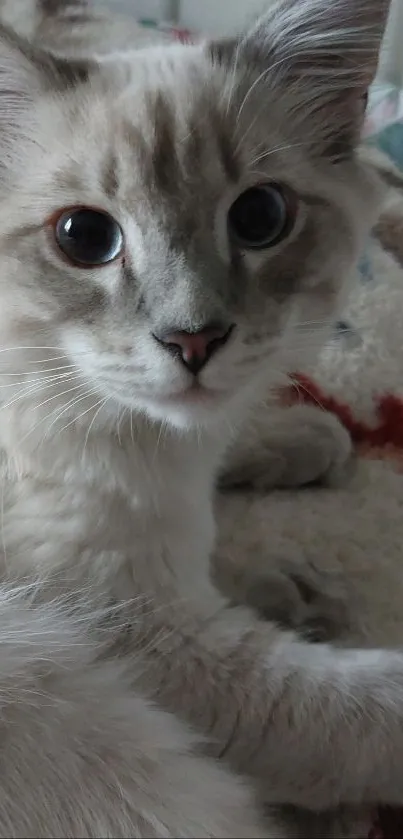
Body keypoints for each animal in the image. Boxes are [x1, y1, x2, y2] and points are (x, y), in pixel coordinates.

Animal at [0, 0, 400, 836]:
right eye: (83, 238)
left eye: (260, 218)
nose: (193, 340)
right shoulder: (148, 640)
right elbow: (360, 711)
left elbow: (249, 430)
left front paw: (303, 438)